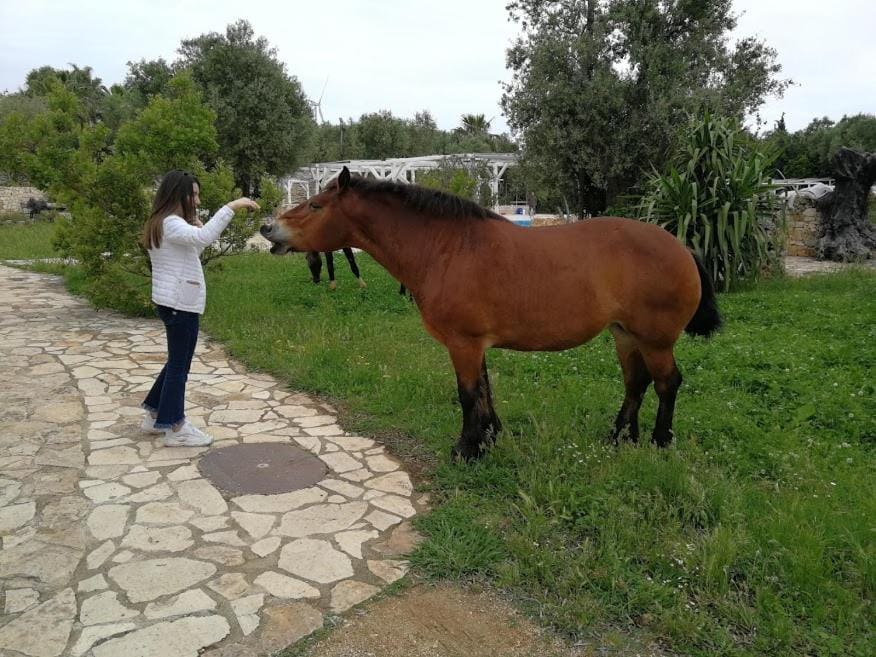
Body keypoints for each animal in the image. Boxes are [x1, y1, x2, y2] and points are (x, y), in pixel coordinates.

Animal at [260, 167, 721, 461]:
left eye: (316, 206)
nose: (267, 228)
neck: (447, 249)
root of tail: (681, 247)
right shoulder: (475, 344)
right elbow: (485, 390)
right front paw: (490, 438)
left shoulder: (462, 343)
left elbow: (468, 394)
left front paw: (466, 449)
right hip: (625, 335)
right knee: (636, 384)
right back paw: (619, 438)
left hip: (655, 340)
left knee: (667, 383)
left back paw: (660, 442)